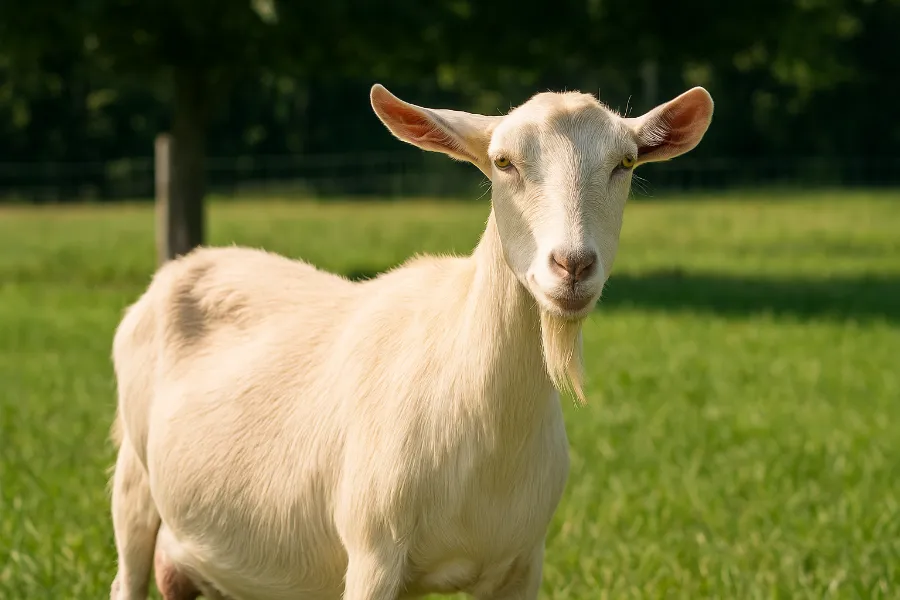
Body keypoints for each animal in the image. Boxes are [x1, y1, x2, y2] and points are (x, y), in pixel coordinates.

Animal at [109, 82, 713, 600]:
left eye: (624, 164)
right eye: (503, 162)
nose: (572, 266)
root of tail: (185, 263)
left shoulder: (522, 560)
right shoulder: (373, 548)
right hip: (133, 478)